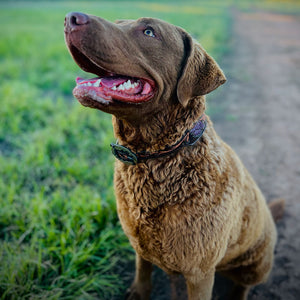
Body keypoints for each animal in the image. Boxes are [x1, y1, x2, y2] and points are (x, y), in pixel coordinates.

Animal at [63, 12, 284, 300]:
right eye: (119, 22)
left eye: (149, 32)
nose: (71, 18)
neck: (155, 158)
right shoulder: (140, 242)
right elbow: (142, 270)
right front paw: (139, 291)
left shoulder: (200, 272)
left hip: (257, 264)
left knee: (245, 284)